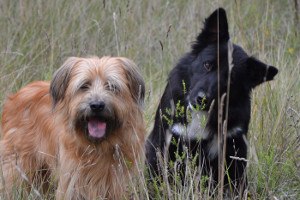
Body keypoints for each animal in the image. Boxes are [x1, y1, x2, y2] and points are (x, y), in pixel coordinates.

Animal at [0, 55, 145, 199]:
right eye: (84, 86)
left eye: (112, 86)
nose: (97, 105)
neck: (97, 147)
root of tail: (14, 96)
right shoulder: (72, 180)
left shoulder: (116, 182)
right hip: (19, 166)